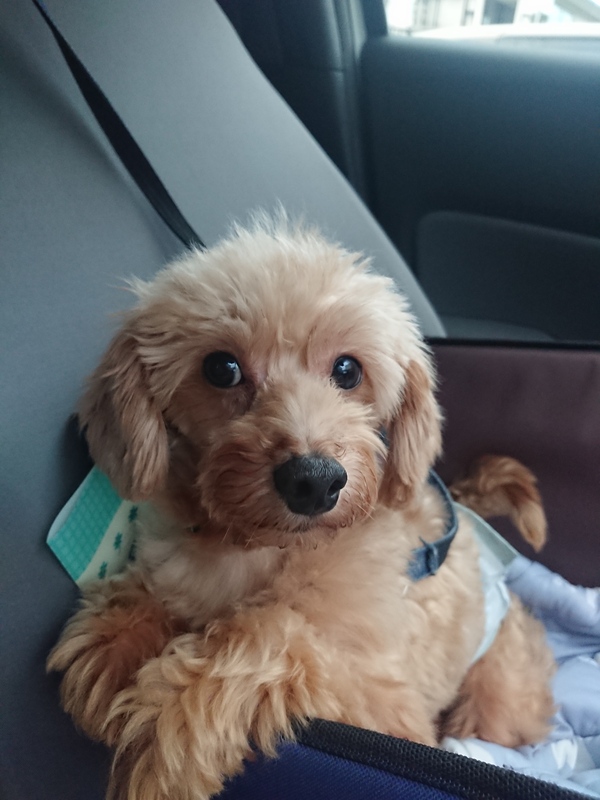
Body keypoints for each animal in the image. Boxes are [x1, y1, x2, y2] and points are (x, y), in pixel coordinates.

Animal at [48, 217, 555, 800]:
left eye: (348, 370)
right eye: (221, 368)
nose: (314, 481)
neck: (259, 549)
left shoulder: (388, 707)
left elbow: (274, 635)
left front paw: (168, 725)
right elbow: (150, 594)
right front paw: (114, 638)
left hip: (495, 695)